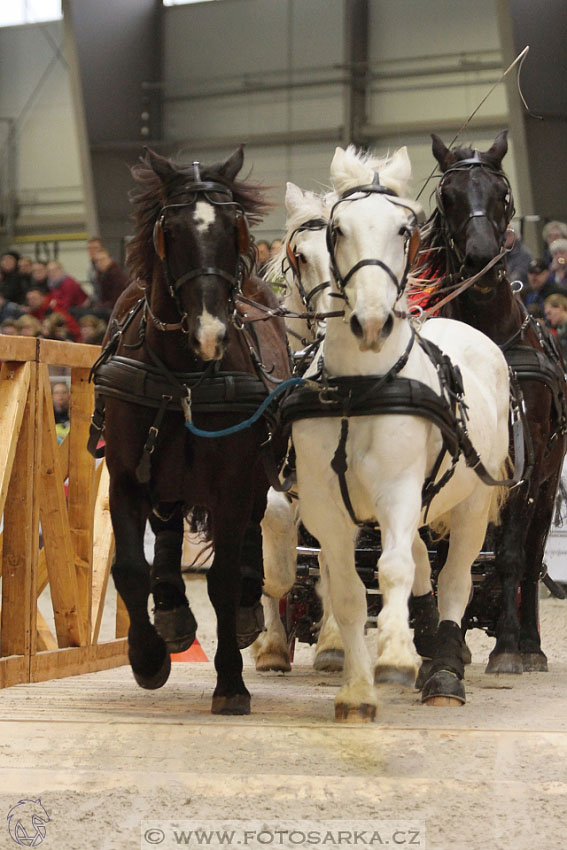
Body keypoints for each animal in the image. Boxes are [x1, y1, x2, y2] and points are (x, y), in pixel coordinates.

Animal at [92, 146, 292, 708]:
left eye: (232, 229)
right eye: (172, 231)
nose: (211, 334)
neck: (182, 372)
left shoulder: (232, 480)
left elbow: (221, 578)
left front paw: (230, 681)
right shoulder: (125, 476)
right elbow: (128, 568)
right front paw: (148, 657)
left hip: (256, 472)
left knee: (251, 529)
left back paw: (245, 608)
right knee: (166, 525)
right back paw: (172, 610)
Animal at [290, 144, 512, 716]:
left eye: (403, 230)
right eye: (337, 229)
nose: (371, 322)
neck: (362, 386)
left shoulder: (397, 491)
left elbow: (391, 571)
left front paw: (394, 654)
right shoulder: (324, 507)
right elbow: (347, 590)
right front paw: (357, 690)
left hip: (471, 502)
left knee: (453, 580)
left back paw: (444, 671)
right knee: (421, 568)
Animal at [412, 132, 567, 672]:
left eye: (502, 194)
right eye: (448, 197)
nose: (480, 260)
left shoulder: (525, 460)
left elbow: (511, 556)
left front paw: (508, 648)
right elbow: (443, 556)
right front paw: (447, 642)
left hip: (548, 479)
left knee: (532, 552)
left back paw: (530, 643)